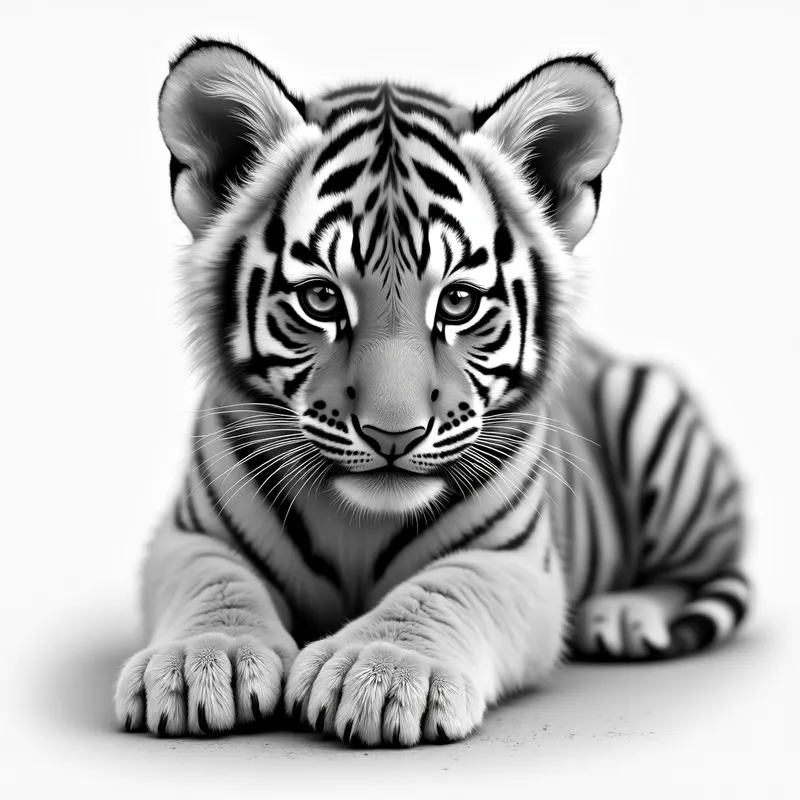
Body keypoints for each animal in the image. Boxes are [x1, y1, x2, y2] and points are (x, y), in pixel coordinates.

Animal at [114, 38, 750, 746]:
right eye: (321, 298)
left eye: (459, 302)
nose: (394, 434)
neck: (357, 523)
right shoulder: (188, 535)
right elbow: (215, 581)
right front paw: (204, 660)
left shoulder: (513, 560)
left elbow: (444, 588)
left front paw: (380, 672)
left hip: (655, 418)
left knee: (701, 568)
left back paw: (624, 615)